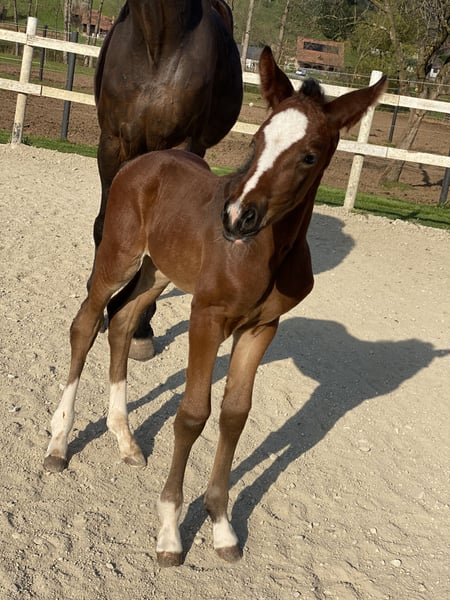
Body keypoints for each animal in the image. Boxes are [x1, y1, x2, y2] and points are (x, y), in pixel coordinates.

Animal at [44, 47, 386, 566]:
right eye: (258, 139)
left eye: (309, 156)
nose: (237, 217)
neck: (268, 253)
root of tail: (144, 161)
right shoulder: (205, 317)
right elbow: (192, 415)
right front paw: (169, 531)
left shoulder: (262, 328)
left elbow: (234, 415)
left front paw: (222, 526)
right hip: (118, 259)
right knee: (86, 323)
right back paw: (59, 444)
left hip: (158, 272)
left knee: (122, 321)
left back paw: (125, 438)